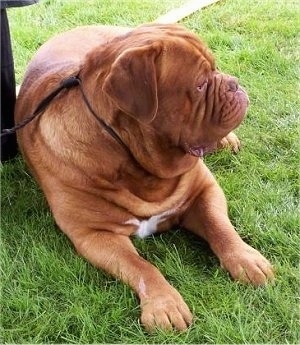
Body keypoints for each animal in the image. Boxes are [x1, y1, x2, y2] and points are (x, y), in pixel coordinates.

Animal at [15, 23, 274, 330]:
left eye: (216, 68)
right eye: (200, 85)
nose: (234, 83)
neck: (142, 168)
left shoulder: (204, 189)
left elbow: (220, 227)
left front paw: (247, 259)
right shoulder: (93, 233)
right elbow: (140, 265)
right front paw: (164, 303)